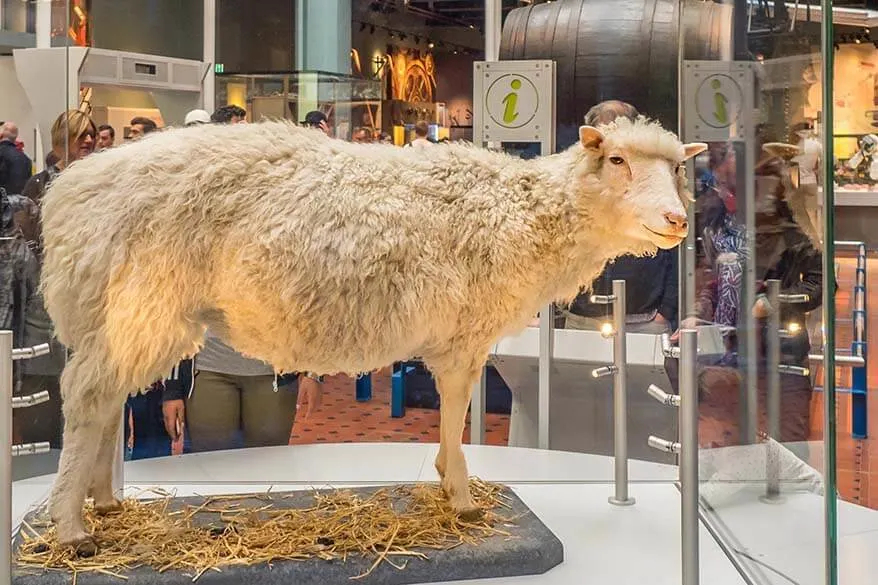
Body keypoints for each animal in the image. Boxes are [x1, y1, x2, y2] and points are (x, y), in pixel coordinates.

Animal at [37, 115, 708, 552]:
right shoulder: (464, 336)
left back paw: (105, 502)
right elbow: (455, 409)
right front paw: (461, 496)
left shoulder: (463, 337)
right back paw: (71, 528)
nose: (676, 220)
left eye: (679, 168)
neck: (526, 212)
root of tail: (67, 192)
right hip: (142, 303)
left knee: (105, 401)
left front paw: (448, 479)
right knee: (88, 397)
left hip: (121, 316)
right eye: (617, 160)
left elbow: (453, 412)